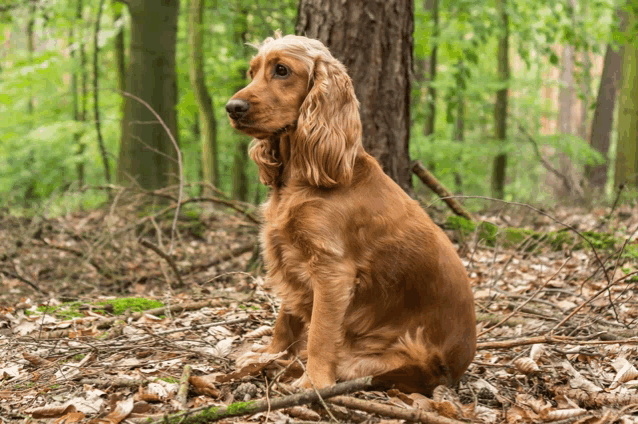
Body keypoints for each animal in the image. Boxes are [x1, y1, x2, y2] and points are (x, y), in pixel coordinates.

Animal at [228, 34, 478, 394]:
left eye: (282, 70)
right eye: (252, 71)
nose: (232, 108)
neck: (303, 175)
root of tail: (457, 369)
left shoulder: (332, 270)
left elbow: (319, 334)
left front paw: (313, 383)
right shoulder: (288, 254)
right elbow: (284, 320)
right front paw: (268, 354)